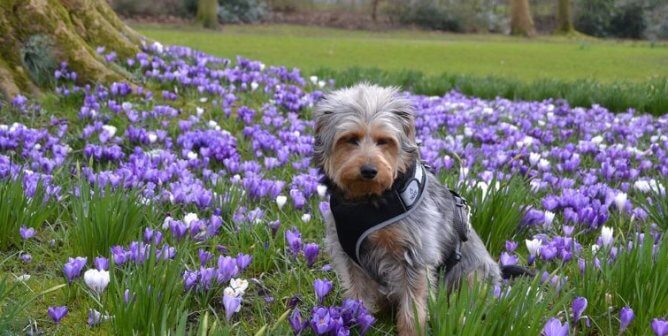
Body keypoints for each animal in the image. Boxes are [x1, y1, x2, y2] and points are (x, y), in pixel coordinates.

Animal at [316, 84, 504, 336]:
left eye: (384, 141)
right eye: (351, 139)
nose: (369, 170)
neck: (369, 201)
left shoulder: (414, 255)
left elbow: (412, 305)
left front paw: (411, 330)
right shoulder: (349, 258)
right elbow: (357, 296)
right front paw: (354, 320)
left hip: (474, 275)